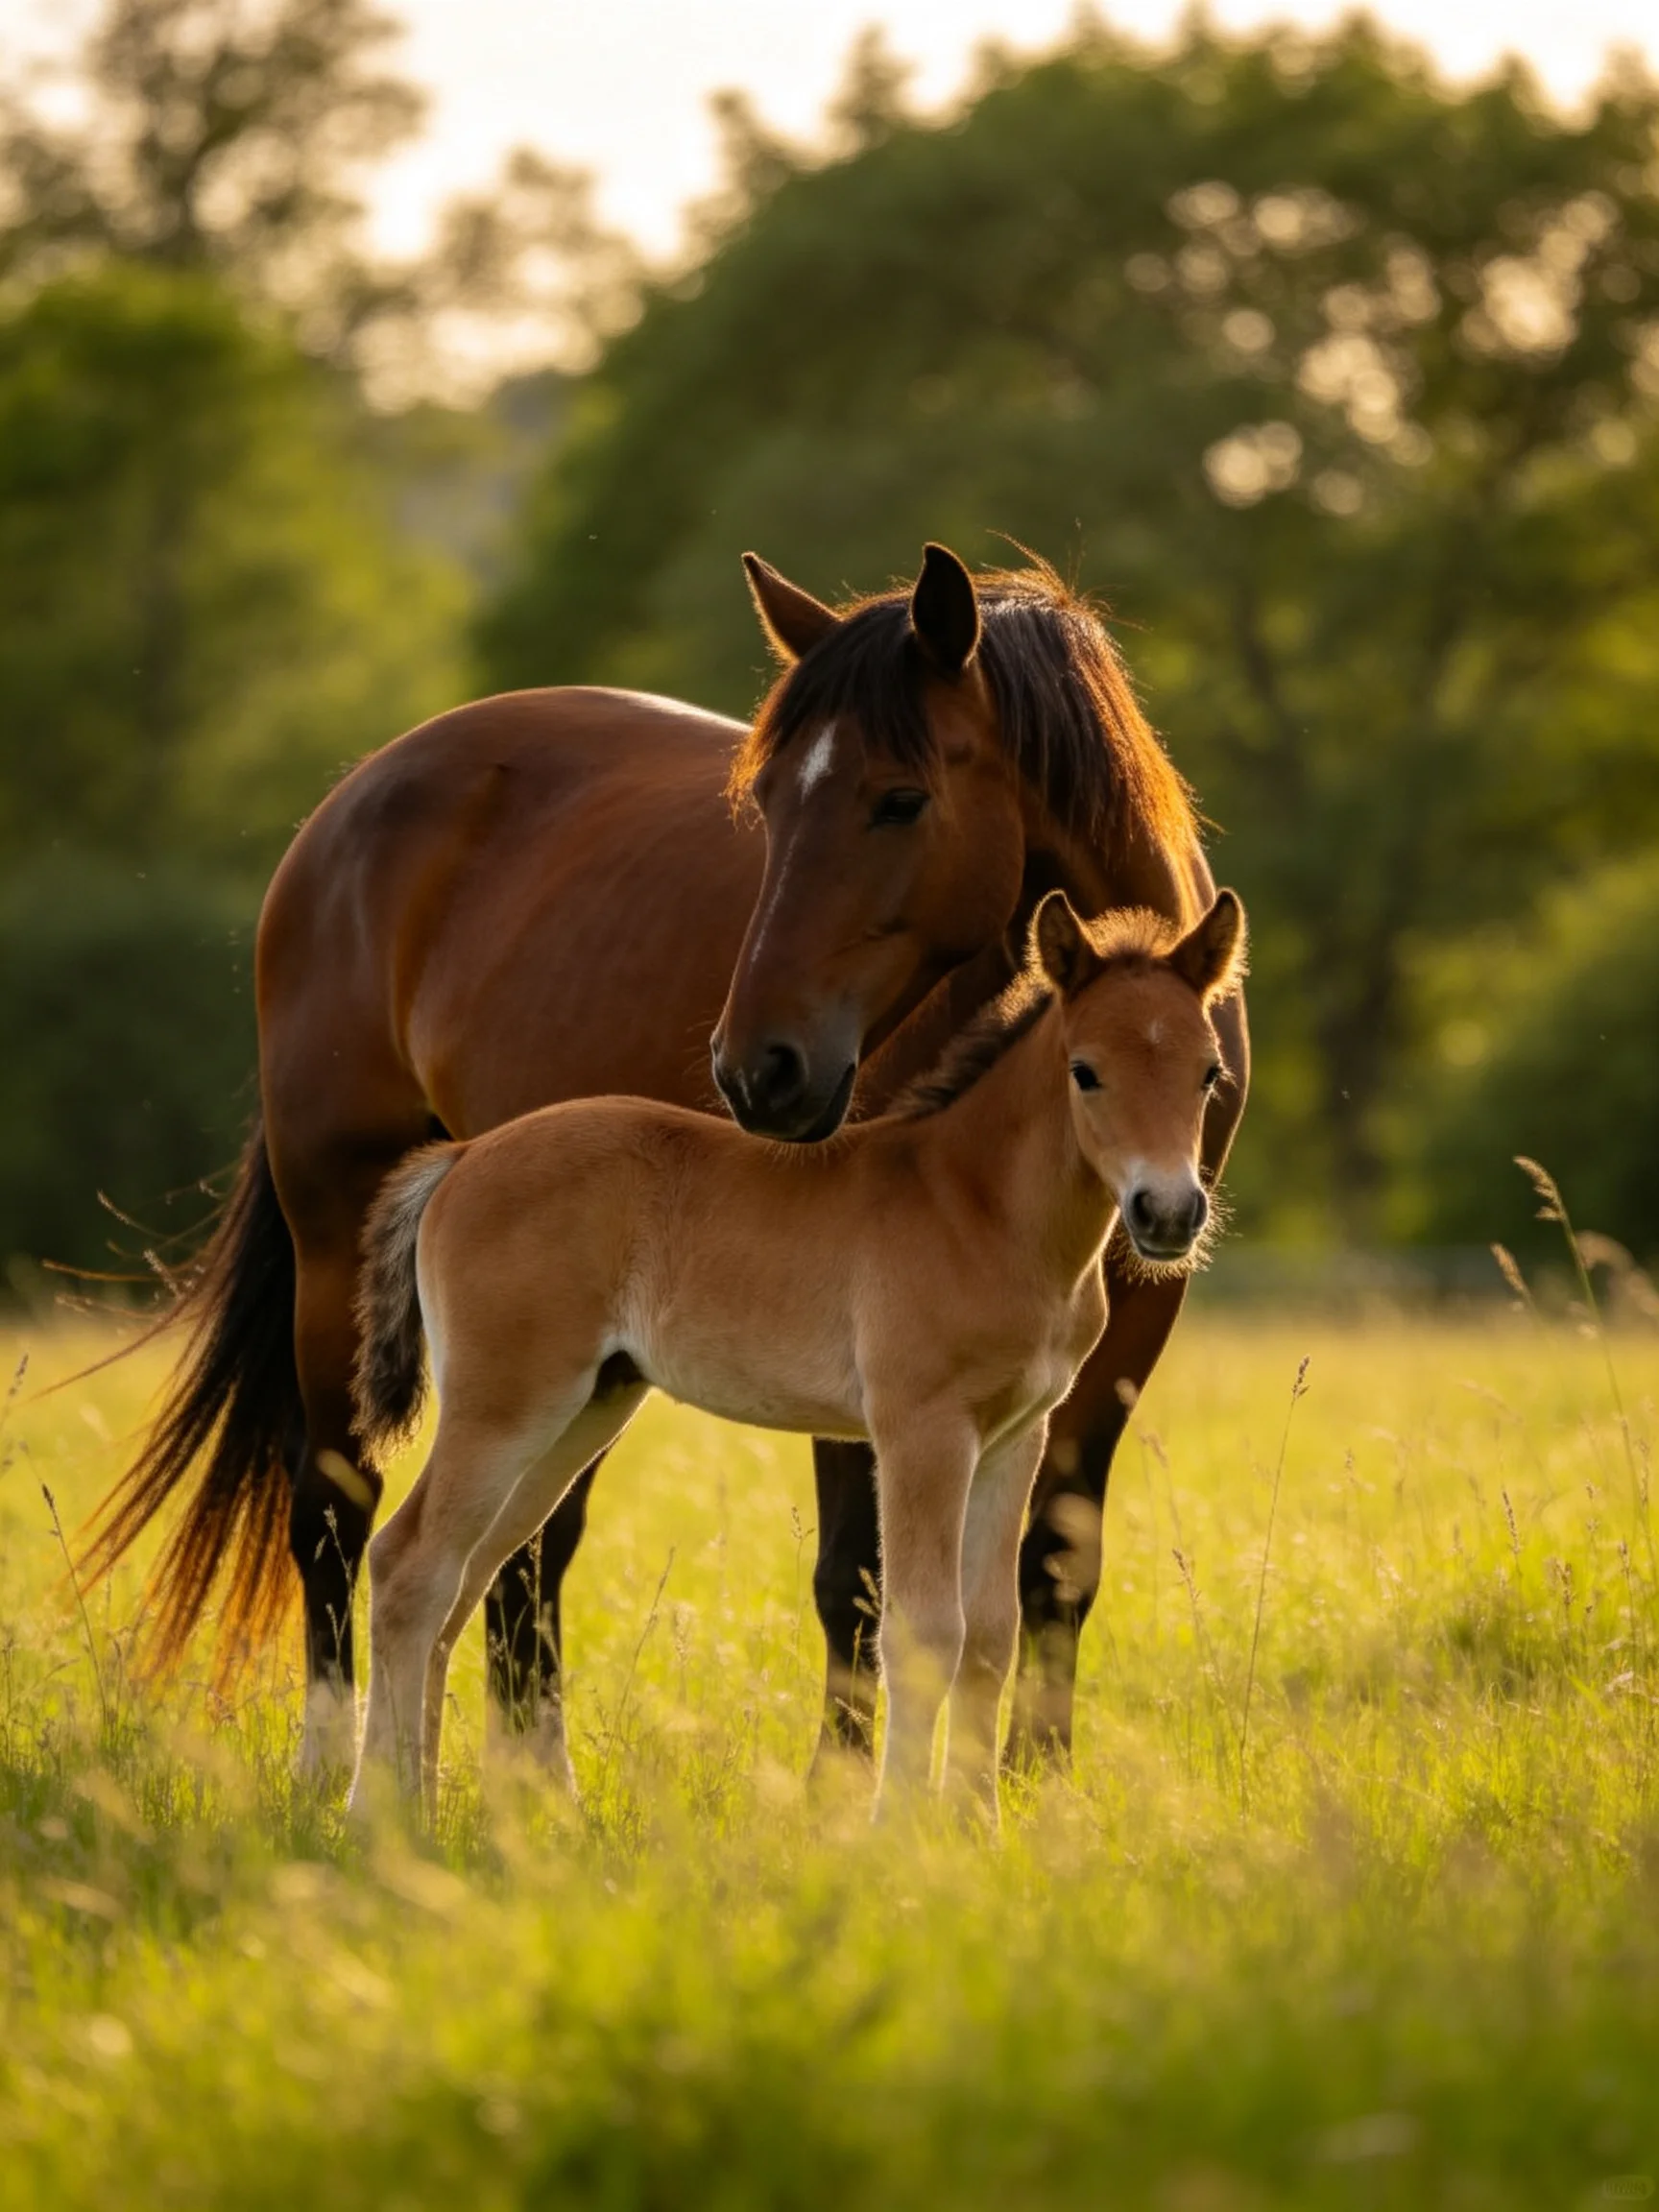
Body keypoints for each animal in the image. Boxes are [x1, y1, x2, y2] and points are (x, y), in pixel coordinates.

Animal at [346, 889, 1245, 1822]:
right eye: (1085, 1070)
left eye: (1209, 1073)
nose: (1168, 1213)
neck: (975, 1205)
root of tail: (461, 1158)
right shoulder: (921, 1430)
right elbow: (926, 1629)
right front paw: (902, 1827)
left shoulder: (1015, 1435)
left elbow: (991, 1635)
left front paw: (977, 1826)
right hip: (505, 1404)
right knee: (409, 1565)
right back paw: (379, 1814)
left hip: (582, 1409)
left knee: (458, 1579)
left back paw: (422, 1810)